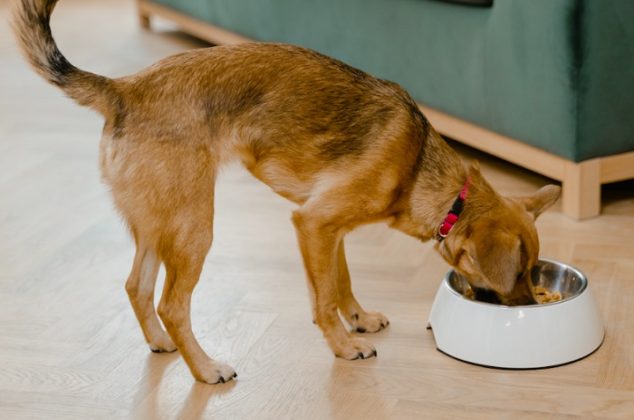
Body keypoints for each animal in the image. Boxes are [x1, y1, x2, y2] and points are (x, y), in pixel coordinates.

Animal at [13, 0, 556, 384]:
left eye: (533, 271)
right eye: (520, 272)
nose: (530, 307)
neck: (424, 170)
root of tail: (123, 89)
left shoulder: (328, 230)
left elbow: (340, 282)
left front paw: (358, 319)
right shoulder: (314, 222)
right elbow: (323, 299)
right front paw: (344, 346)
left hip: (156, 223)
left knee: (136, 287)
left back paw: (161, 343)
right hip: (195, 227)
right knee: (172, 304)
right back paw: (206, 370)